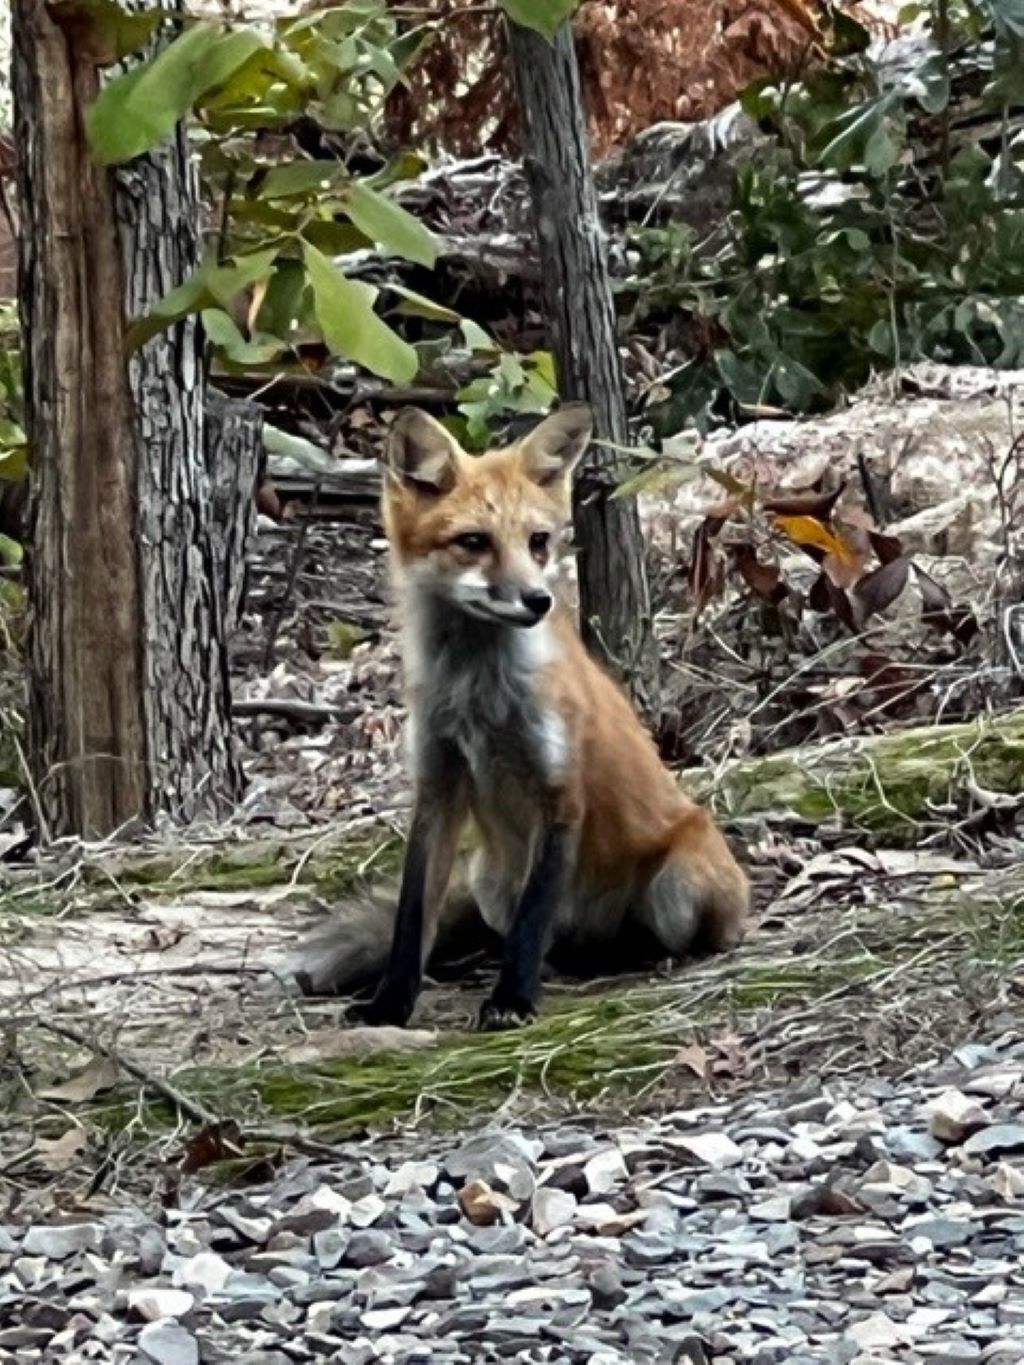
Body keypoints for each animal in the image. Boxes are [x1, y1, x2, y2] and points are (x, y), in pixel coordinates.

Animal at [293, 403, 750, 1030]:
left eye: (538, 541)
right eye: (473, 542)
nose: (538, 600)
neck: (477, 696)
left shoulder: (559, 791)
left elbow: (533, 919)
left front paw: (512, 1000)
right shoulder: (437, 784)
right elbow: (414, 918)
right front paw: (392, 1000)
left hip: (678, 886)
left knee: (665, 936)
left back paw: (631, 958)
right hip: (489, 882)